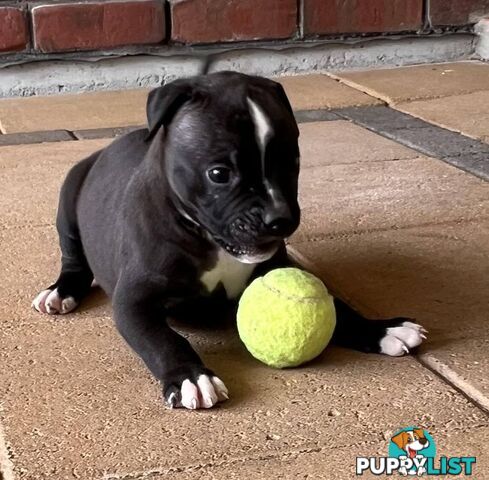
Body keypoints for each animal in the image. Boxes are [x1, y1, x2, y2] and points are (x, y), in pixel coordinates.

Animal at [32, 71, 426, 408]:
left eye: (293, 162)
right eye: (219, 174)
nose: (280, 219)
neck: (207, 238)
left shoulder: (278, 265)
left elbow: (338, 305)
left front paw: (383, 329)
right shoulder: (134, 301)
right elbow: (163, 339)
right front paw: (191, 376)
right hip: (69, 200)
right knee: (74, 260)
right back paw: (60, 292)